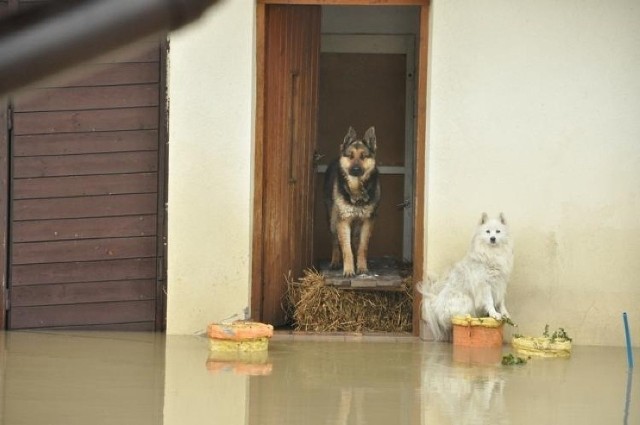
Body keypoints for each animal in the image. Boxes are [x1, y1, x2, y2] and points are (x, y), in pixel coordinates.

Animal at [324, 125, 380, 278]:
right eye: (350, 156)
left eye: (363, 156)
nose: (355, 169)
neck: (356, 189)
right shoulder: (343, 221)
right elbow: (346, 249)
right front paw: (348, 270)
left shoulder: (367, 221)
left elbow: (362, 247)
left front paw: (362, 267)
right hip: (333, 221)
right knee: (335, 241)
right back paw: (335, 262)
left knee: (355, 241)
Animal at [420, 212, 516, 342]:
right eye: (487, 232)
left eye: (498, 231)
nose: (492, 238)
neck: (492, 253)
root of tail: (436, 304)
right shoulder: (485, 285)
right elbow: (490, 301)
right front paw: (494, 314)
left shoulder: (500, 282)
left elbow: (501, 301)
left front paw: (505, 314)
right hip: (467, 300)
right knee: (456, 318)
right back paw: (468, 318)